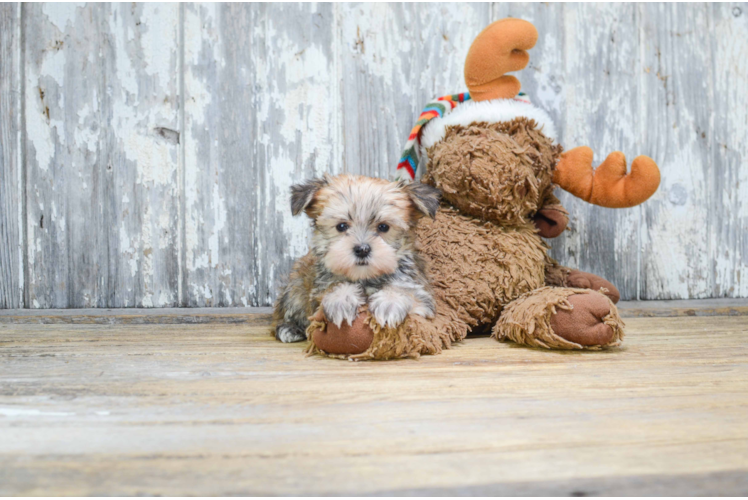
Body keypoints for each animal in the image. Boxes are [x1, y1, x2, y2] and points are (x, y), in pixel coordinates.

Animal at [274, 174, 438, 342]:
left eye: (383, 227)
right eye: (341, 226)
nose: (362, 250)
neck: (364, 277)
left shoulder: (421, 292)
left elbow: (408, 292)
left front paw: (390, 302)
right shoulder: (317, 291)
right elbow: (332, 288)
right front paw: (341, 299)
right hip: (295, 287)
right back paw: (289, 328)